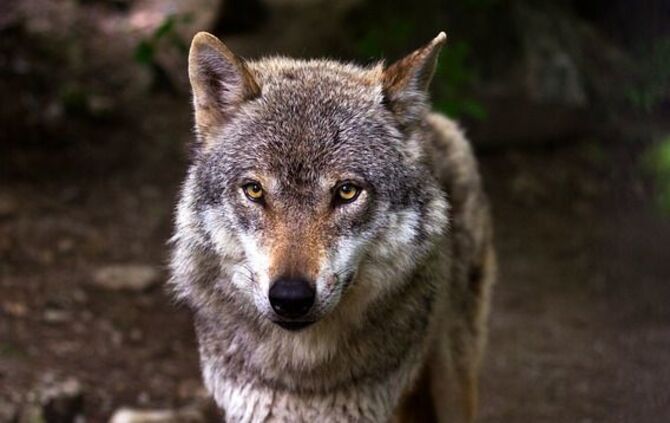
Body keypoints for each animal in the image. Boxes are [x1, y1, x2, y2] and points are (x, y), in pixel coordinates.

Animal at [169, 30, 495, 422]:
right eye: (254, 190)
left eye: (347, 191)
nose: (290, 297)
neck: (305, 380)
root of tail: (431, 120)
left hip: (453, 378)